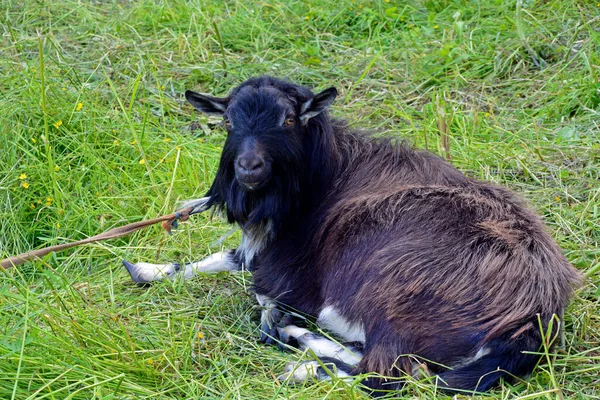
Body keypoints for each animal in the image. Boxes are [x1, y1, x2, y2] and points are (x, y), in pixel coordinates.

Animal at [123, 76, 580, 394]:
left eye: (289, 119)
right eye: (228, 121)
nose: (249, 168)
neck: (325, 176)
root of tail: (531, 319)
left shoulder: (290, 273)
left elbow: (258, 289)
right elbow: (224, 258)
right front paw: (145, 268)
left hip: (394, 296)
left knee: (388, 376)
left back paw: (302, 363)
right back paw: (302, 341)